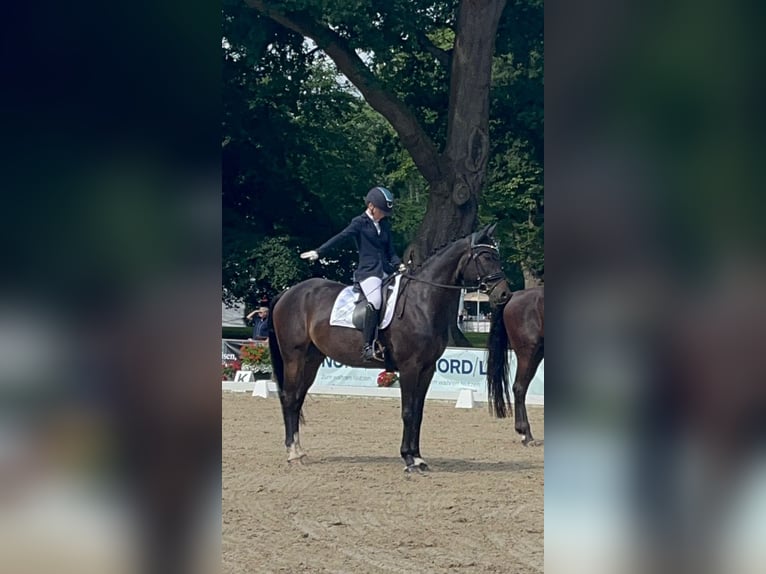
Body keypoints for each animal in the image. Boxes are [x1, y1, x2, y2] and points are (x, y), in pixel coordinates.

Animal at [267, 224, 512, 472]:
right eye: (486, 256)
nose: (504, 294)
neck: (422, 301)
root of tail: (289, 292)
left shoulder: (427, 369)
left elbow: (418, 413)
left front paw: (419, 458)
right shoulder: (409, 367)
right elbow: (408, 411)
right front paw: (408, 459)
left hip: (312, 359)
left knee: (298, 398)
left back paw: (299, 451)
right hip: (294, 357)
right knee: (289, 397)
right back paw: (292, 453)